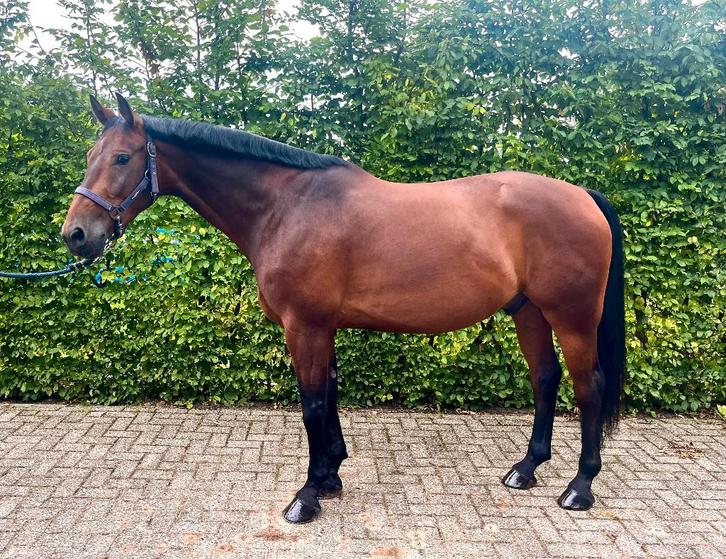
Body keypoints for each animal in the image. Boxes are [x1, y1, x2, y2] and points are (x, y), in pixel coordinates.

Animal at [62, 94, 625, 524]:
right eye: (91, 154)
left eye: (122, 158)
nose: (76, 235)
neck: (286, 207)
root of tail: (584, 195)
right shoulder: (322, 327)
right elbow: (328, 397)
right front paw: (331, 475)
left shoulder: (304, 326)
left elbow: (312, 405)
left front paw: (307, 496)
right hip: (528, 311)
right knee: (546, 379)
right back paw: (526, 469)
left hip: (572, 316)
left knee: (588, 385)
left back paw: (579, 487)